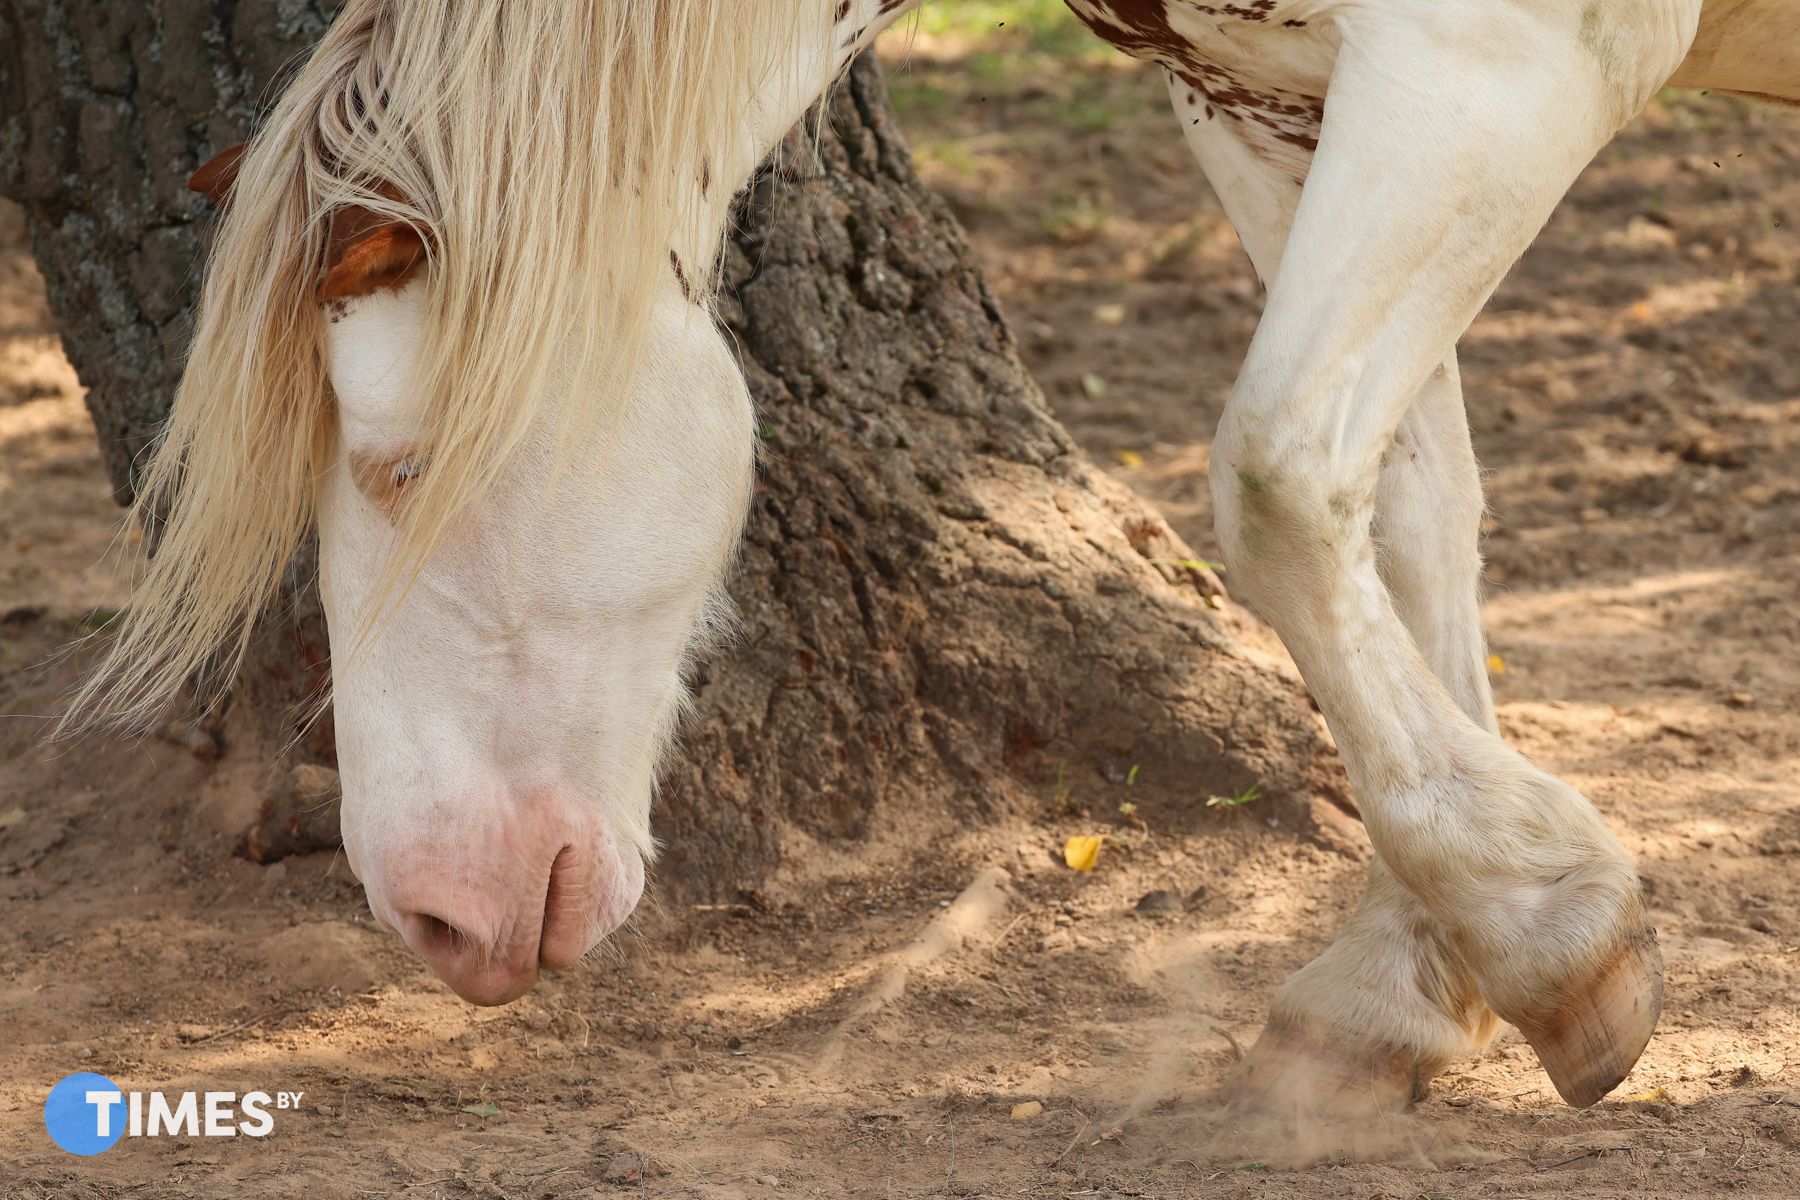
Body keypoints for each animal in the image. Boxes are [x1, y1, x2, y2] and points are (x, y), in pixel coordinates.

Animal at [67, 0, 1798, 1112]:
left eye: (401, 463)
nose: (427, 913)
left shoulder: (1494, 61)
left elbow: (1278, 482)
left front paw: (1547, 936)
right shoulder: (1269, 98)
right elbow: (1405, 503)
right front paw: (1413, 977)